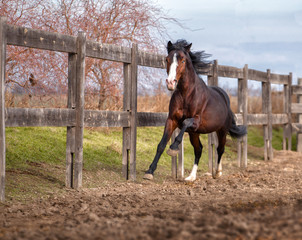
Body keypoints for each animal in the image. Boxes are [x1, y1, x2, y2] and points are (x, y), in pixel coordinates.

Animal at [143, 39, 247, 182]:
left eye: (182, 60)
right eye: (167, 59)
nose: (170, 83)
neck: (186, 94)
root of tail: (225, 98)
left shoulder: (196, 121)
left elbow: (186, 122)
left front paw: (173, 148)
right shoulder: (172, 120)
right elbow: (161, 145)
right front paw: (149, 171)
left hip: (221, 130)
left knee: (220, 149)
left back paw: (217, 172)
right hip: (194, 133)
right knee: (199, 150)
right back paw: (191, 177)